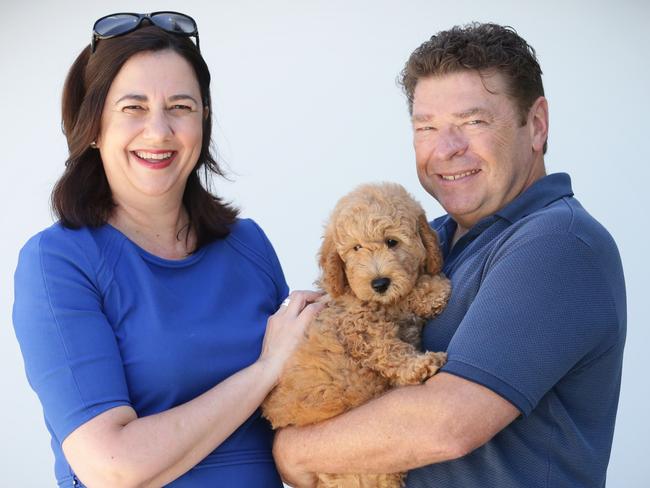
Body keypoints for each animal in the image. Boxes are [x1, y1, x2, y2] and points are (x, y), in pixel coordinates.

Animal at [260, 183, 448, 488]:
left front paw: (428, 291)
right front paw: (421, 364)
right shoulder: (358, 326)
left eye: (392, 242)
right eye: (356, 248)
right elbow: (389, 348)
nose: (380, 283)